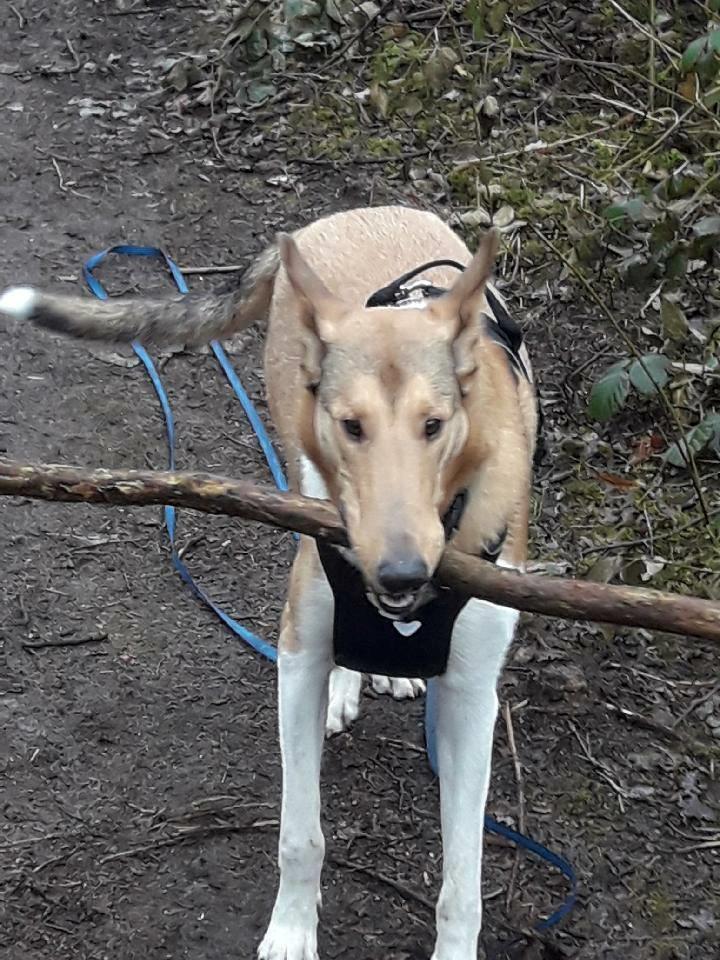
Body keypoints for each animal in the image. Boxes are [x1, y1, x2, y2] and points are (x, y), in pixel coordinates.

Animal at [0, 204, 536, 960]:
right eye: (351, 427)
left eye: (434, 425)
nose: (400, 571)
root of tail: (354, 212)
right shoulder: (298, 661)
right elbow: (300, 835)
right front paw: (290, 932)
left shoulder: (472, 699)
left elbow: (462, 882)